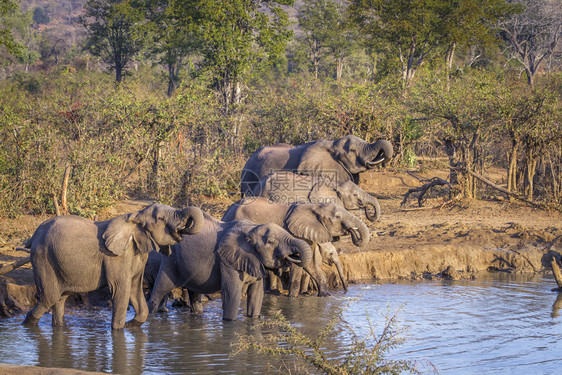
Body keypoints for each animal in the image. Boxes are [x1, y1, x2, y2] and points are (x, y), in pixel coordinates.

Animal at [23, 204, 206, 330]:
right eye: (161, 218)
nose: (183, 229)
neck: (136, 217)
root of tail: (33, 235)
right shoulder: (117, 257)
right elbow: (121, 289)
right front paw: (119, 329)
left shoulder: (137, 255)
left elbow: (134, 289)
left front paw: (131, 325)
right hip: (43, 257)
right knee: (49, 297)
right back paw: (27, 325)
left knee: (60, 298)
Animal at [147, 213, 312, 322]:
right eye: (271, 241)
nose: (291, 256)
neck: (252, 229)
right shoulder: (226, 262)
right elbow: (232, 294)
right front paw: (230, 324)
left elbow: (256, 295)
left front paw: (253, 319)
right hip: (171, 259)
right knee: (161, 288)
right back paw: (152, 314)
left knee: (195, 293)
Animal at [221, 198, 370, 298]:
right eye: (338, 216)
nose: (346, 291)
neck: (314, 206)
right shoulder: (293, 233)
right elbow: (300, 263)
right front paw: (293, 298)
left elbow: (310, 264)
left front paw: (325, 295)